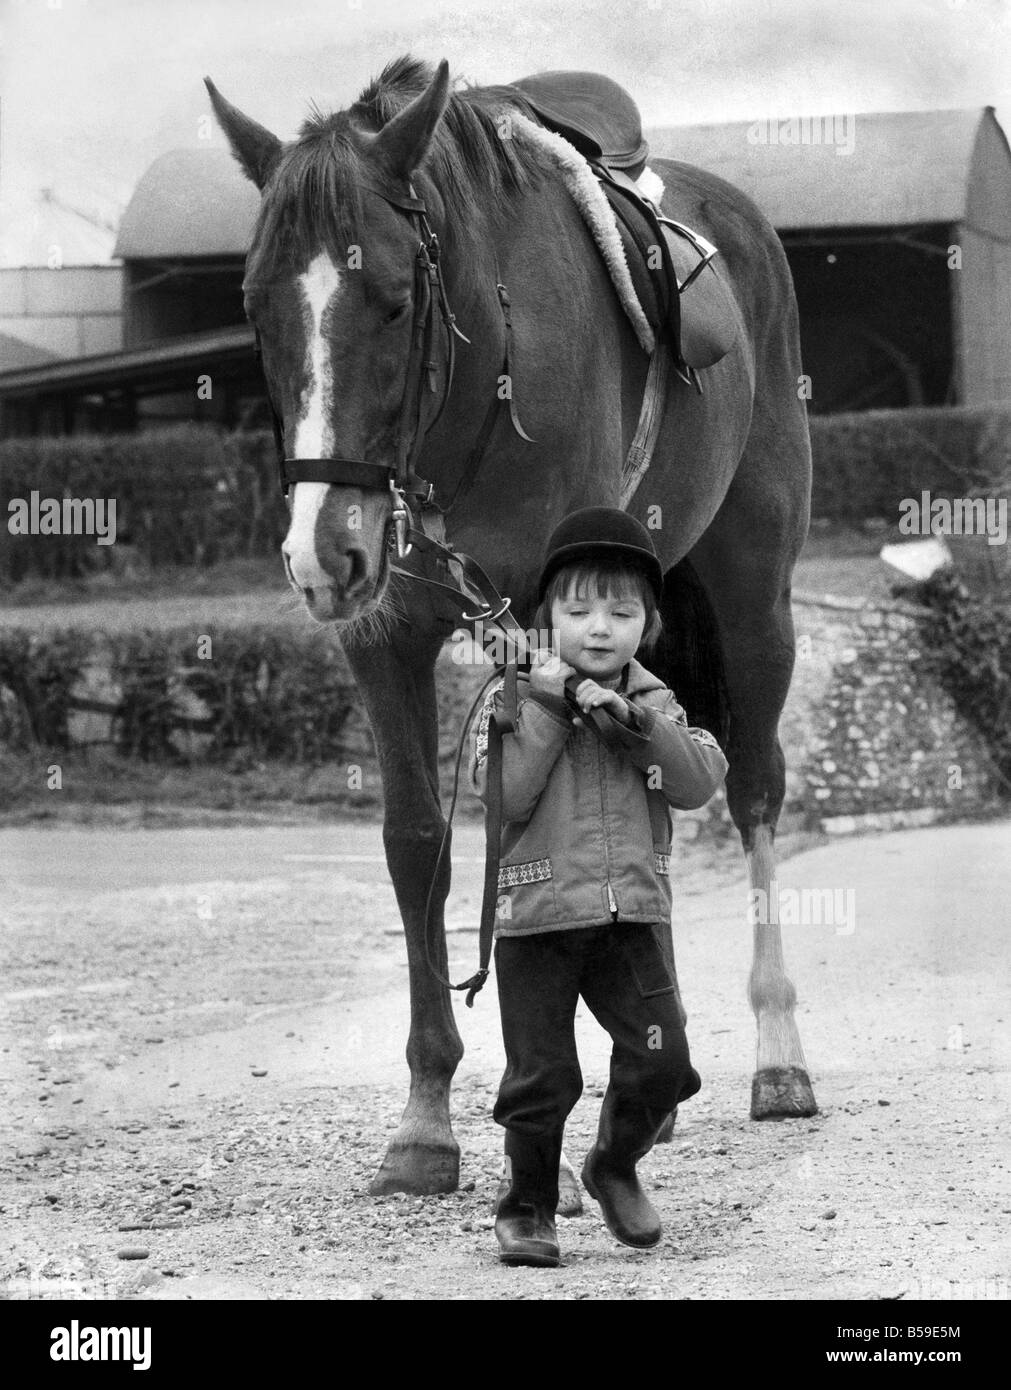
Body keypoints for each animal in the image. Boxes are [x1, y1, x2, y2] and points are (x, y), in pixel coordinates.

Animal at [207, 56, 823, 1195]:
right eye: (257, 310)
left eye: (396, 300)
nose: (322, 552)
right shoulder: (387, 634)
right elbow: (420, 844)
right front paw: (425, 1118)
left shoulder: (544, 624)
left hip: (757, 596)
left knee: (754, 786)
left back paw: (778, 1057)